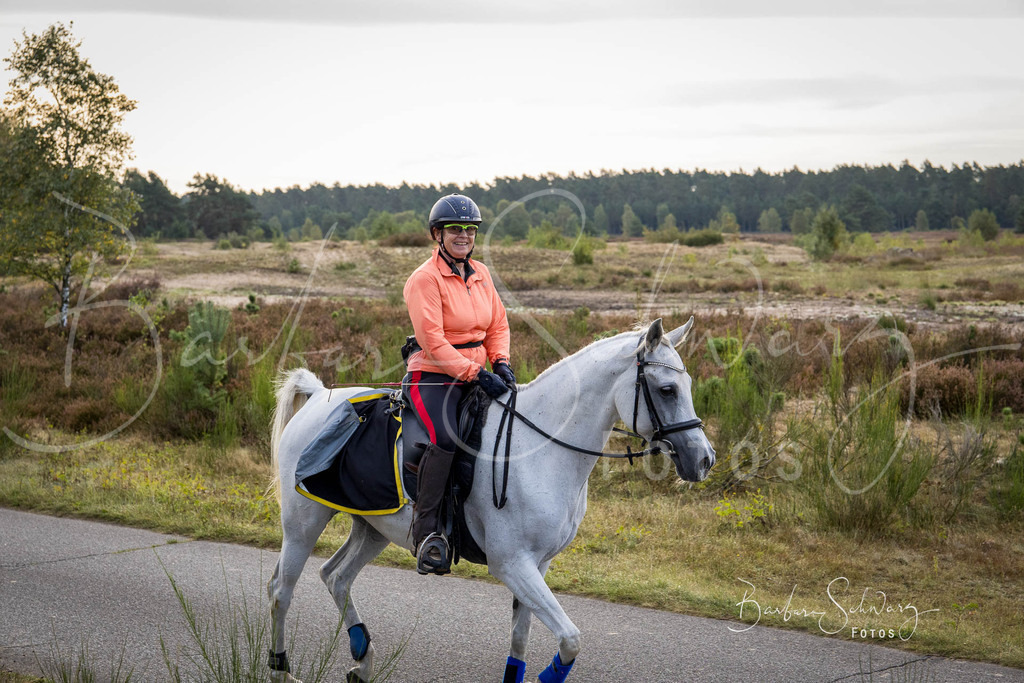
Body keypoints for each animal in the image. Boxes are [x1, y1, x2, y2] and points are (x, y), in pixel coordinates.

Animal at [267, 317, 716, 683]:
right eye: (667, 389)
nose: (704, 459)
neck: (539, 447)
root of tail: (320, 395)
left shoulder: (537, 565)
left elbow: (520, 640)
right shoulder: (512, 563)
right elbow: (570, 639)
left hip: (373, 526)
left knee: (336, 576)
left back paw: (362, 659)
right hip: (304, 524)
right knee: (280, 591)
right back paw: (280, 668)